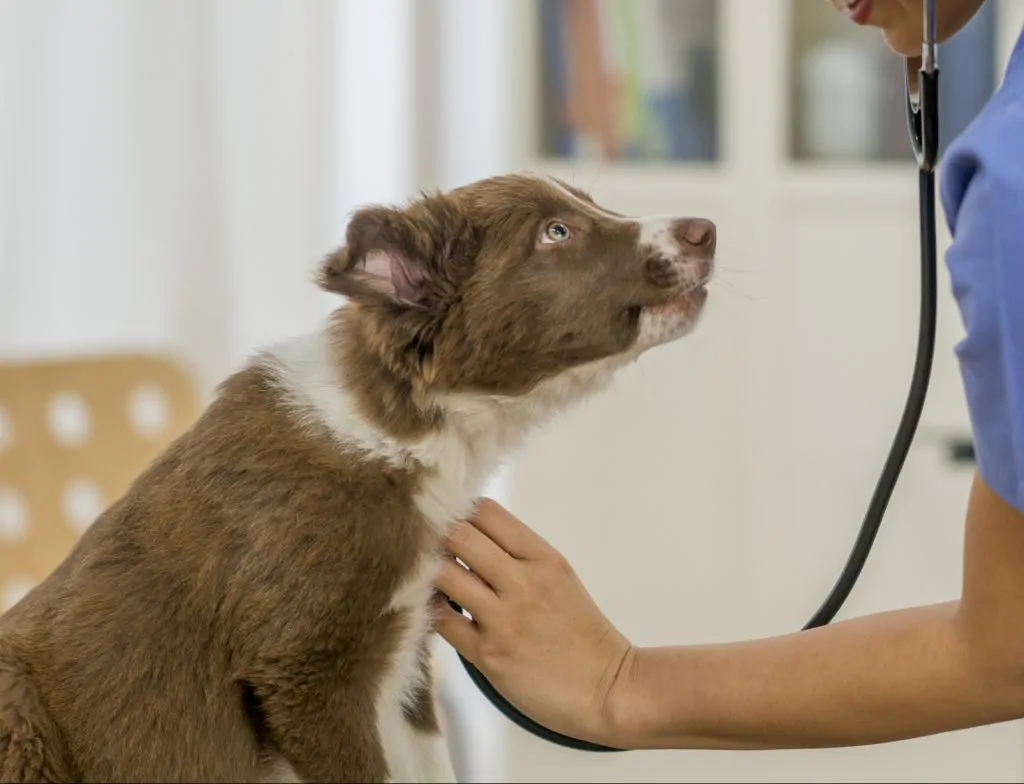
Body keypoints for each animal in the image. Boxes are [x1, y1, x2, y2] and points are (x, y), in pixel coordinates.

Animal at [0, 175, 716, 781]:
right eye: (556, 233)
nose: (705, 229)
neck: (407, 428)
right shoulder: (306, 669)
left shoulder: (408, 656)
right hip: (21, 715)